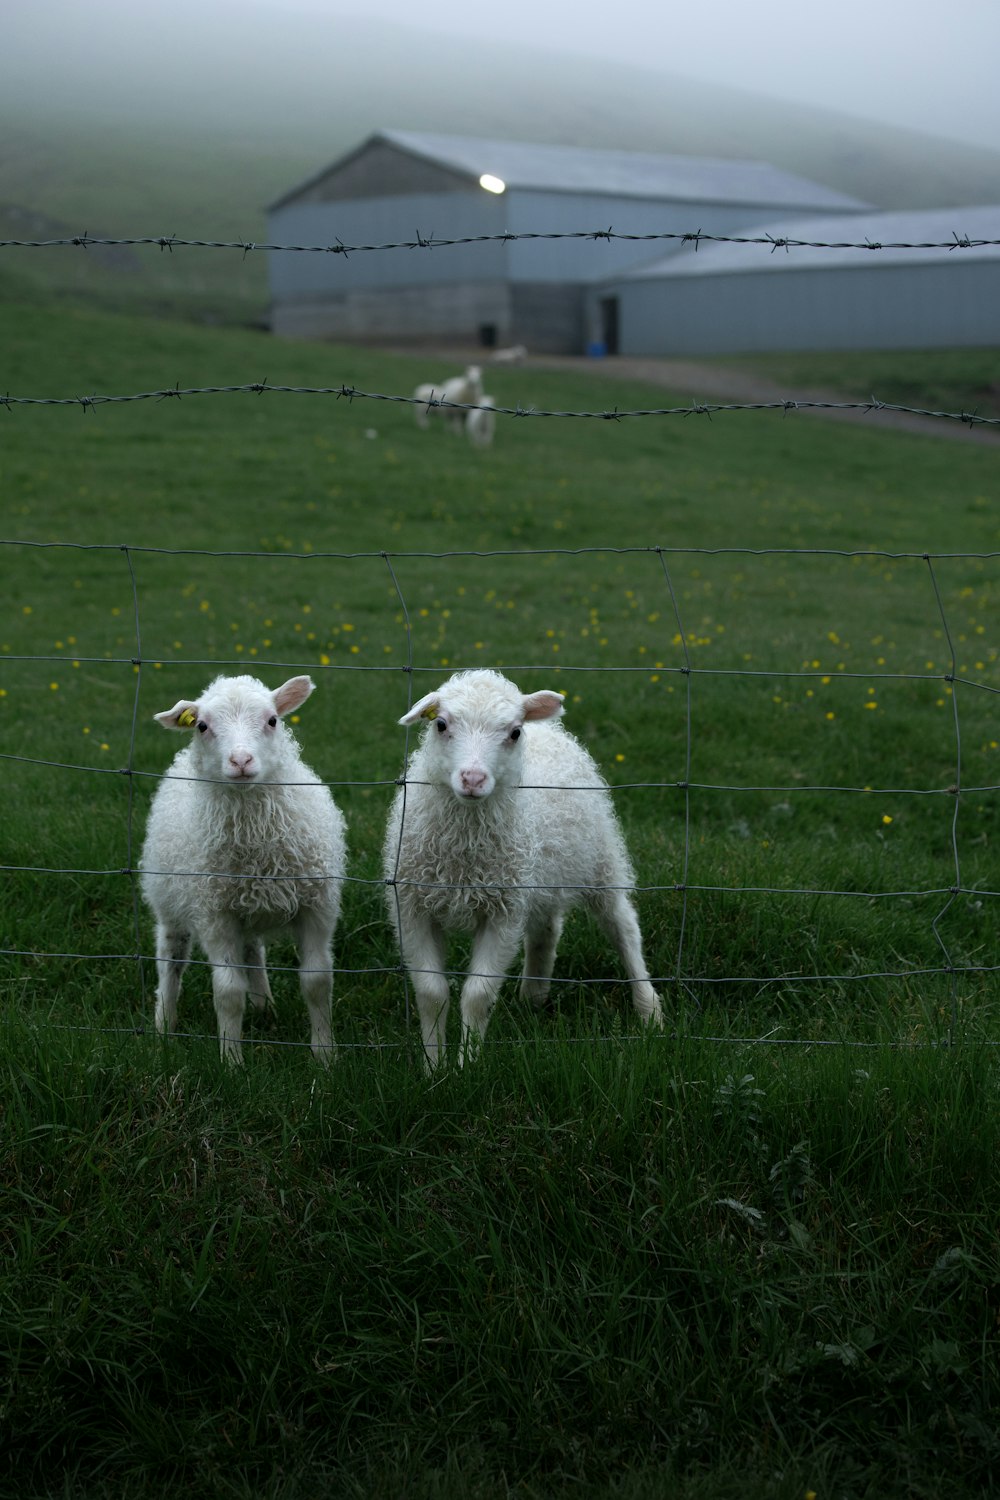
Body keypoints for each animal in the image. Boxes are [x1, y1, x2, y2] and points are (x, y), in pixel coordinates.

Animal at [138, 675, 346, 1062]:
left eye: (273, 720)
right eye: (202, 726)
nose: (241, 760)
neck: (257, 844)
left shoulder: (317, 907)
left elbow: (316, 981)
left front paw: (325, 1055)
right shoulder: (215, 915)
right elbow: (228, 991)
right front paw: (231, 1060)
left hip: (246, 907)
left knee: (252, 952)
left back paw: (265, 1006)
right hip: (171, 903)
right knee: (170, 961)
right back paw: (163, 1028)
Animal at [383, 669, 665, 1068]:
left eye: (514, 732)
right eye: (440, 724)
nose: (473, 779)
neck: (463, 854)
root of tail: (551, 730)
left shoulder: (502, 912)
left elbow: (478, 994)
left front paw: (467, 1067)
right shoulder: (412, 907)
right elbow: (431, 993)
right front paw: (433, 1067)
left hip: (600, 861)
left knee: (623, 928)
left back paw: (649, 1010)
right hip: (540, 873)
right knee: (546, 929)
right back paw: (534, 994)